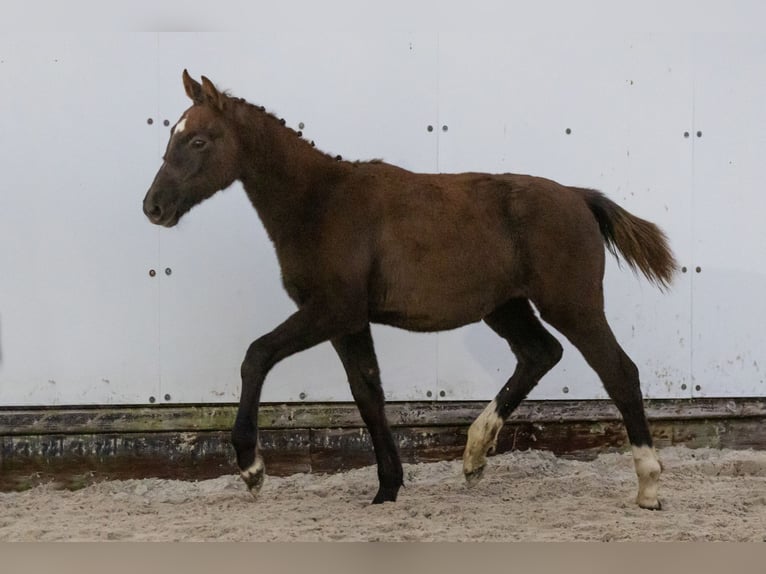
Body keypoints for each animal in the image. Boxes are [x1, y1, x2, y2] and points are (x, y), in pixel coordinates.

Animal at [144, 70, 680, 510]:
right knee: (539, 353)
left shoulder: (332, 310)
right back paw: (474, 456)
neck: (321, 201)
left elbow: (256, 355)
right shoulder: (350, 321)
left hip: (573, 304)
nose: (153, 206)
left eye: (199, 140)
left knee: (619, 372)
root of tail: (579, 197)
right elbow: (368, 392)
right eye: (172, 134)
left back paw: (649, 487)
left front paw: (252, 469)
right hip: (505, 307)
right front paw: (387, 487)